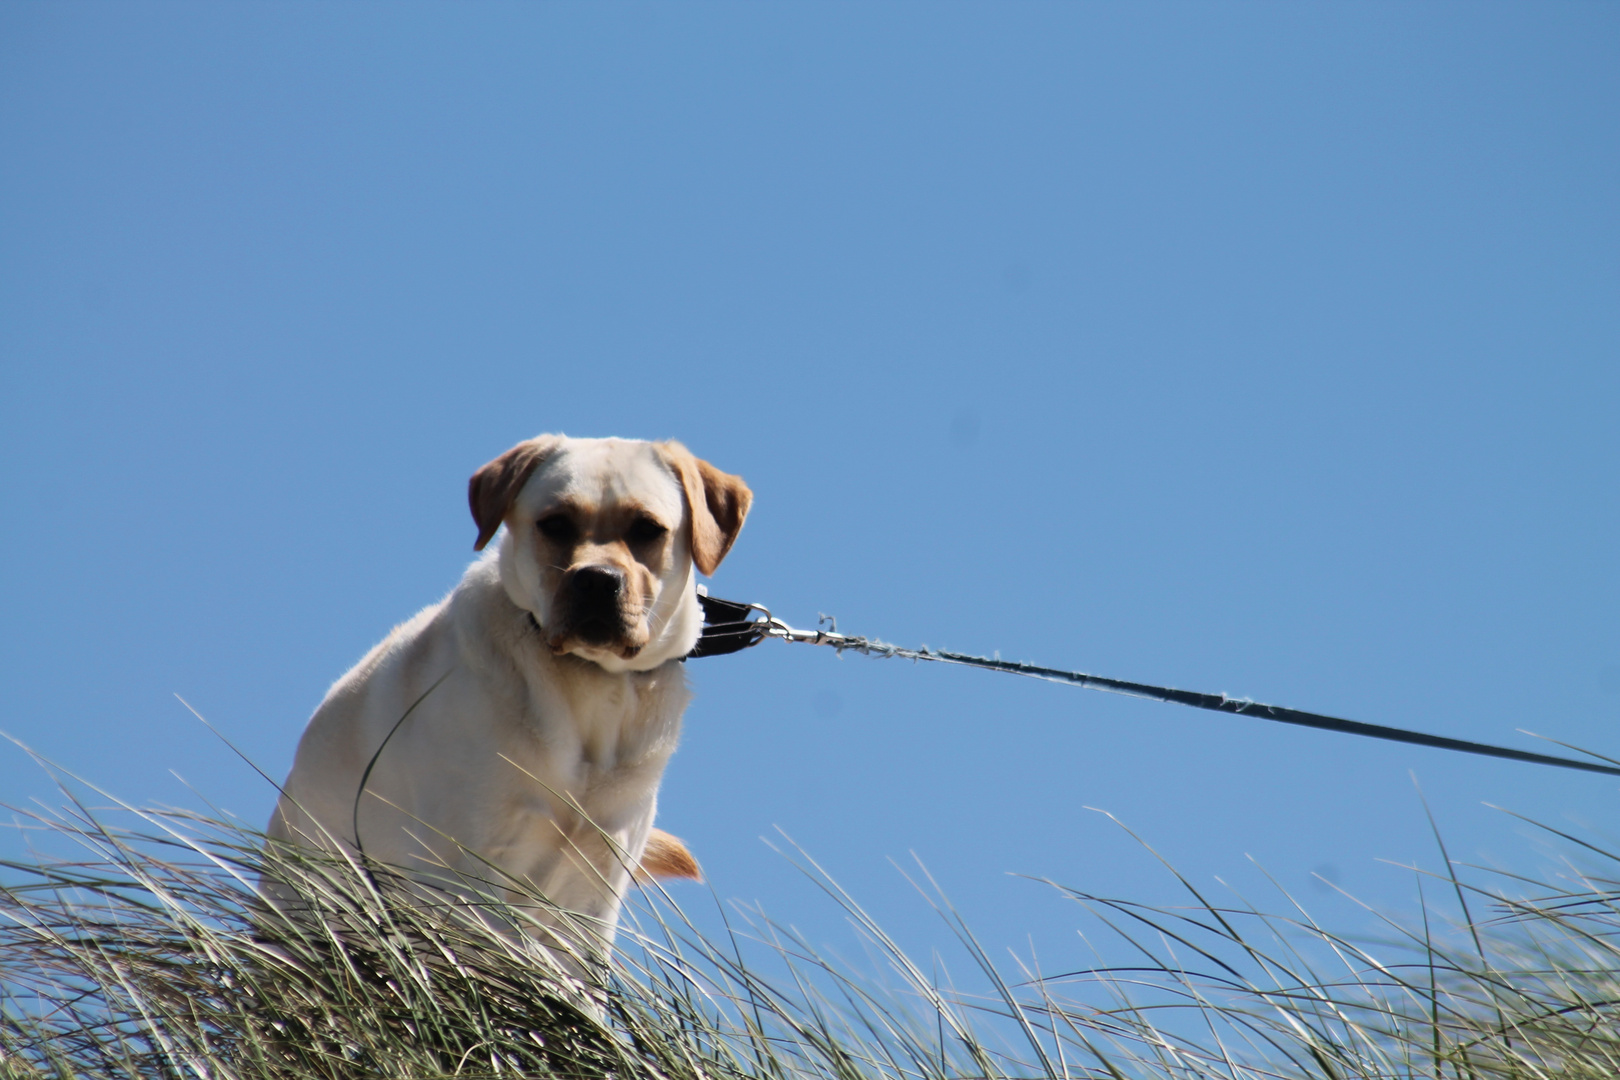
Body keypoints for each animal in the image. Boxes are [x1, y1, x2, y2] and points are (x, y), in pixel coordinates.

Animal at [268, 433, 748, 965]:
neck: (589, 683)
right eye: (555, 523)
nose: (597, 580)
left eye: (647, 528)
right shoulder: (468, 871)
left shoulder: (595, 894)